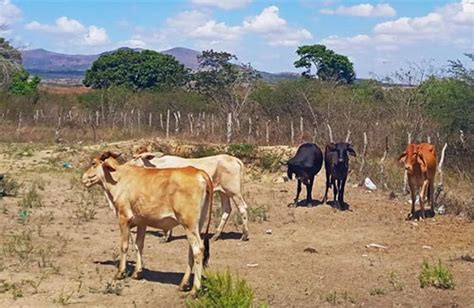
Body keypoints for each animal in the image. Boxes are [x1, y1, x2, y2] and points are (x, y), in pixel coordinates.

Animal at [81, 151, 213, 294]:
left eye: (93, 163)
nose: (83, 178)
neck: (119, 178)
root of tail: (199, 173)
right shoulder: (142, 222)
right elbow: (139, 245)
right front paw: (137, 272)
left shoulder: (123, 218)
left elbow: (124, 246)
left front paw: (120, 273)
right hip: (197, 224)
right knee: (192, 250)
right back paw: (183, 284)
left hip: (189, 223)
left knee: (198, 249)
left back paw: (194, 289)